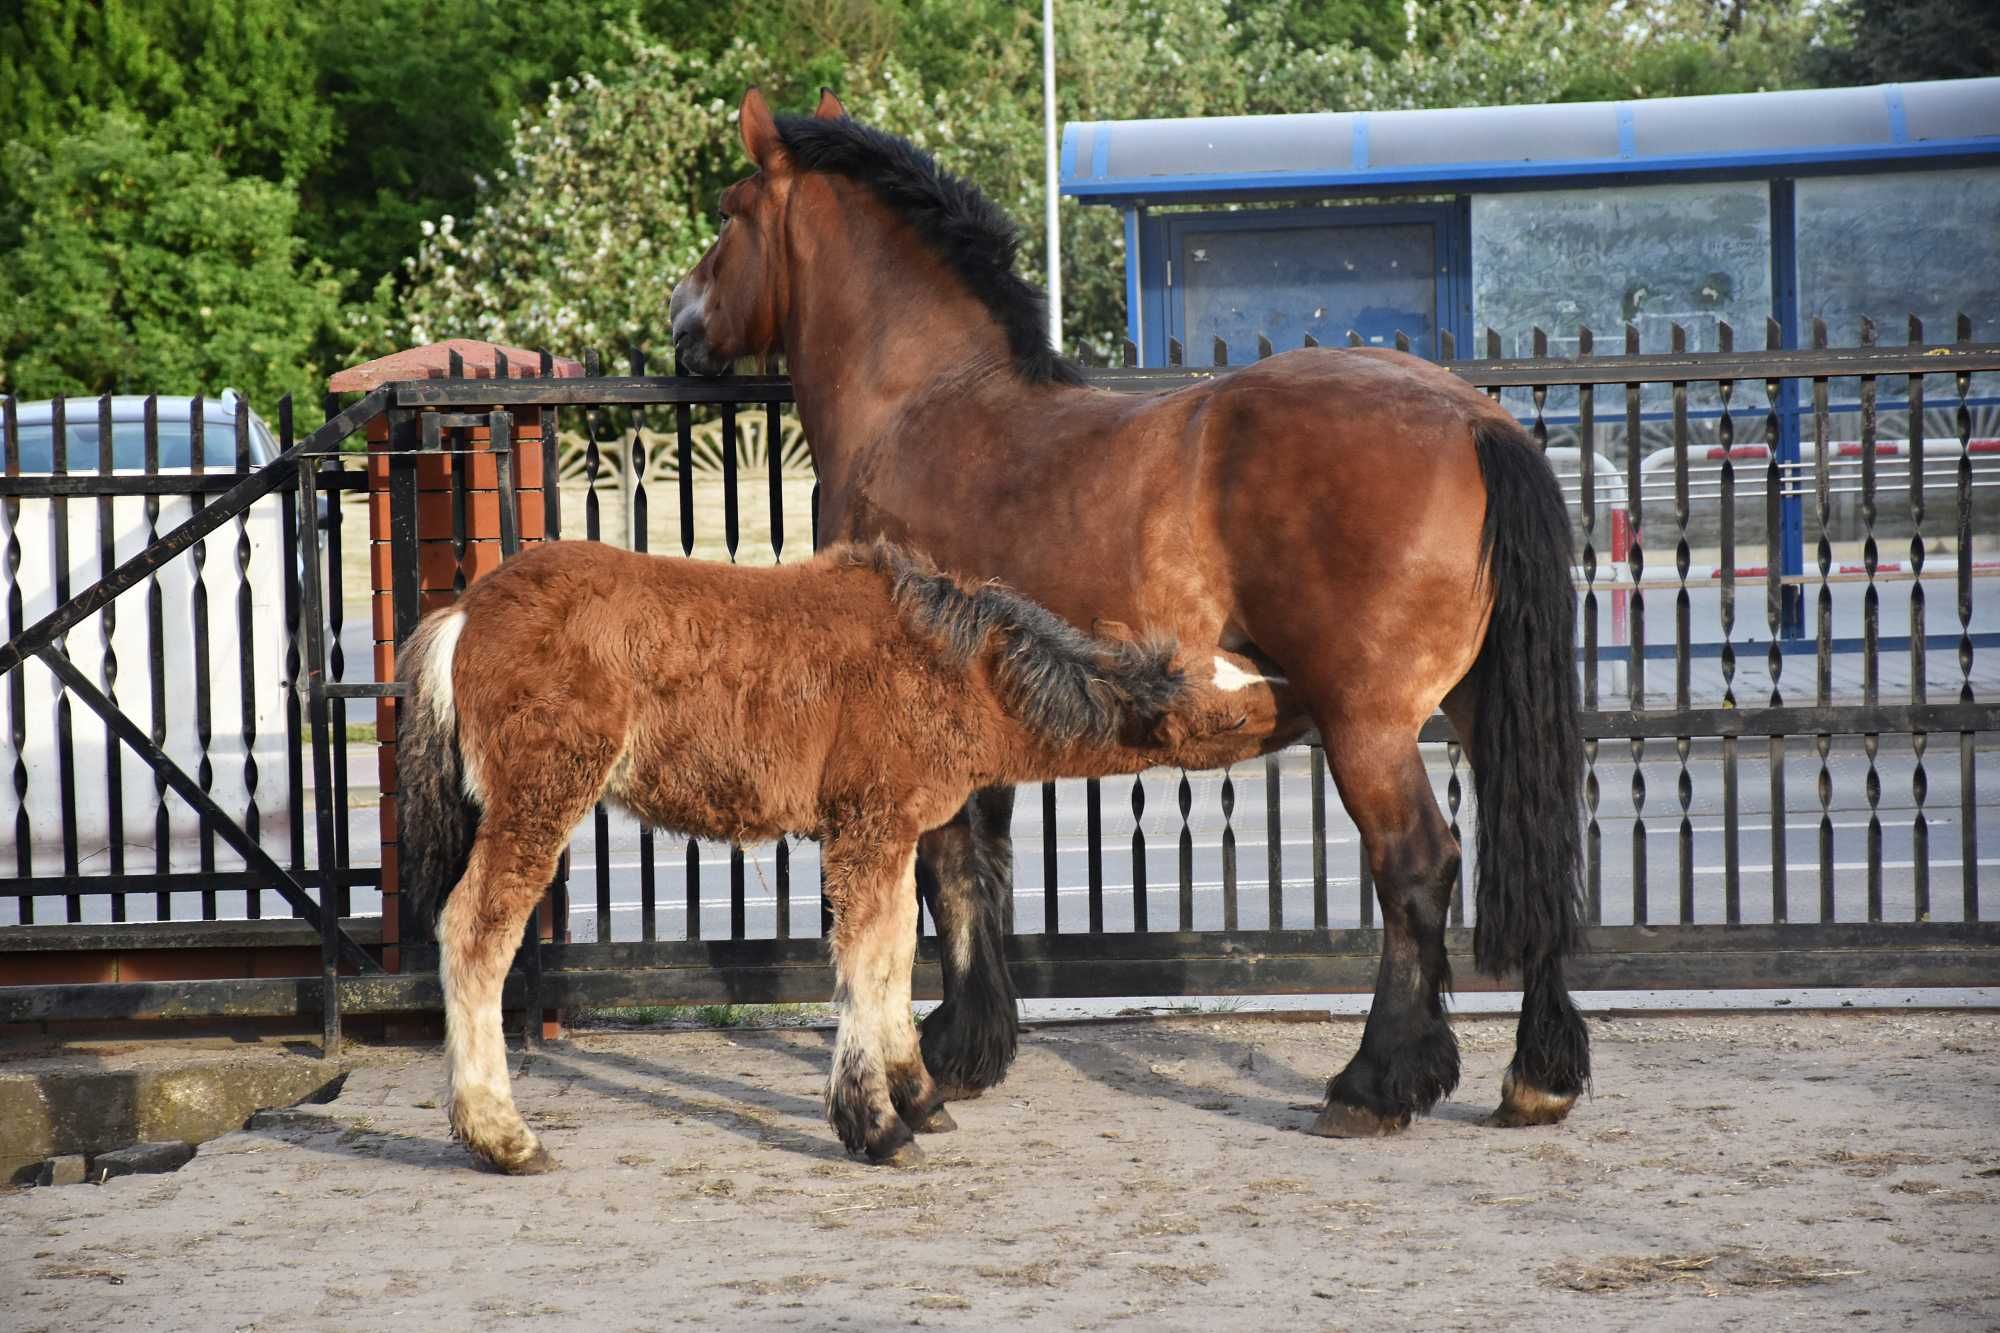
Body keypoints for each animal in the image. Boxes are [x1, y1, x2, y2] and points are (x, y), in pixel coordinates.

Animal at [396, 536, 1288, 1168]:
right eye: (1228, 714)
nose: (1291, 700)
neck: (948, 667)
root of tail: (465, 612)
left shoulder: (894, 834)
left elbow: (893, 954)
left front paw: (918, 1096)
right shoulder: (870, 824)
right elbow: (866, 958)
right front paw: (877, 1126)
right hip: (541, 794)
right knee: (474, 933)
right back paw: (505, 1138)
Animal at [672, 88, 1592, 1136]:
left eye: (731, 210)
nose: (678, 315)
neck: (919, 409)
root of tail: (1474, 419)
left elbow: (943, 873)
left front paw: (940, 1062)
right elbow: (981, 871)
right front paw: (973, 1041)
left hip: (1369, 724)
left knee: (1416, 866)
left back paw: (1372, 1082)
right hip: (1480, 705)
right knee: (1534, 851)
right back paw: (1538, 1074)